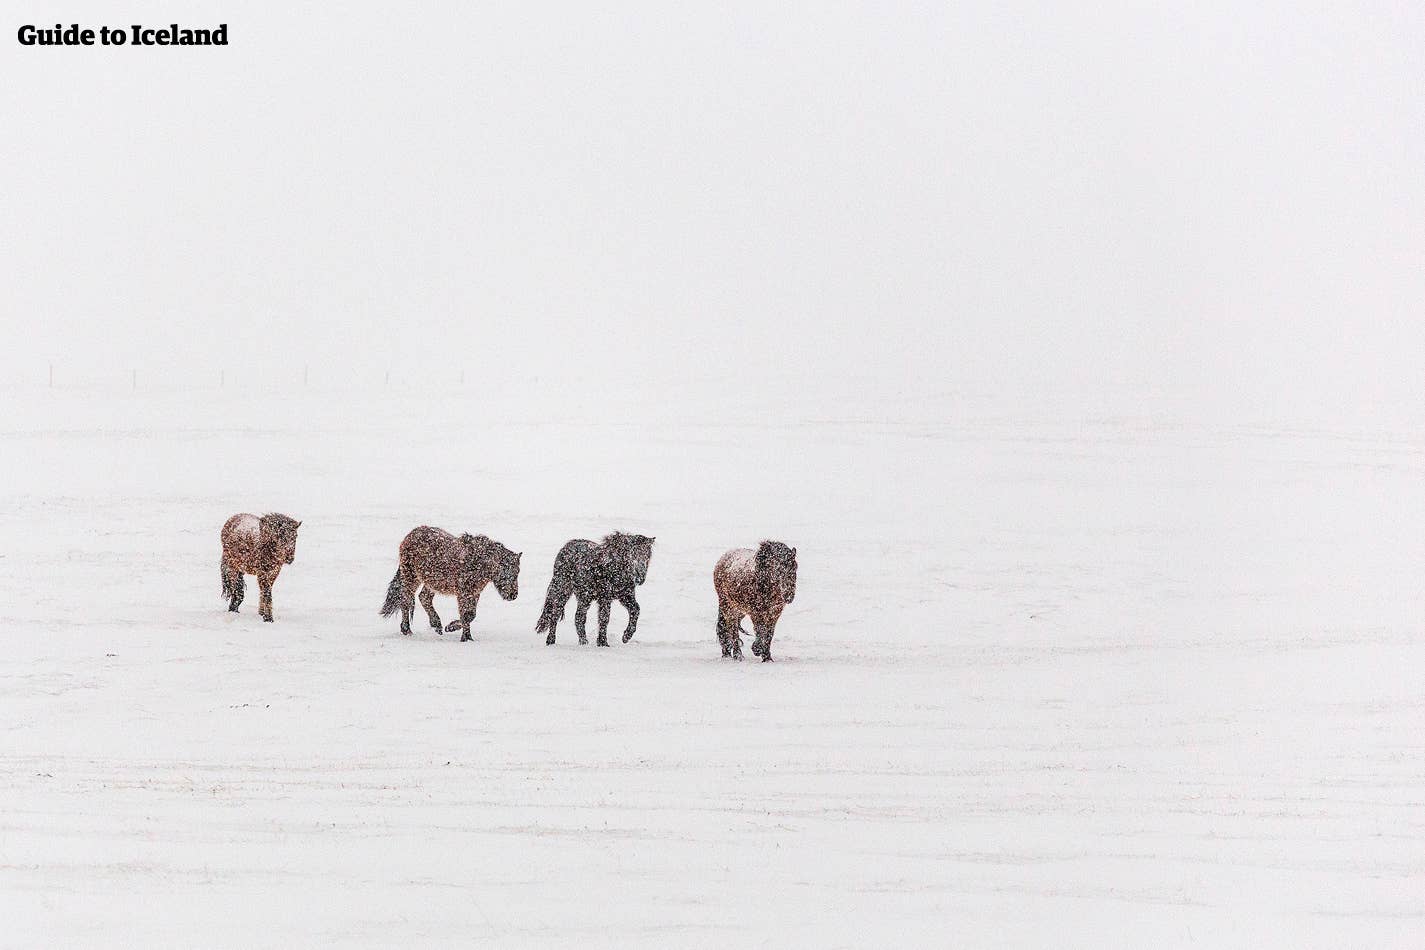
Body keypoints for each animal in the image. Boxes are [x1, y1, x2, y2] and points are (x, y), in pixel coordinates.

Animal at [380, 526, 521, 641]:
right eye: (506, 571)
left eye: (517, 571)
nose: (513, 595)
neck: (478, 562)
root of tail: (410, 535)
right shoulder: (463, 593)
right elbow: (465, 615)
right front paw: (462, 636)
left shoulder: (474, 593)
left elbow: (471, 615)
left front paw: (457, 631)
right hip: (411, 577)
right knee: (406, 600)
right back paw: (407, 630)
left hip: (430, 582)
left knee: (423, 598)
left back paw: (436, 624)